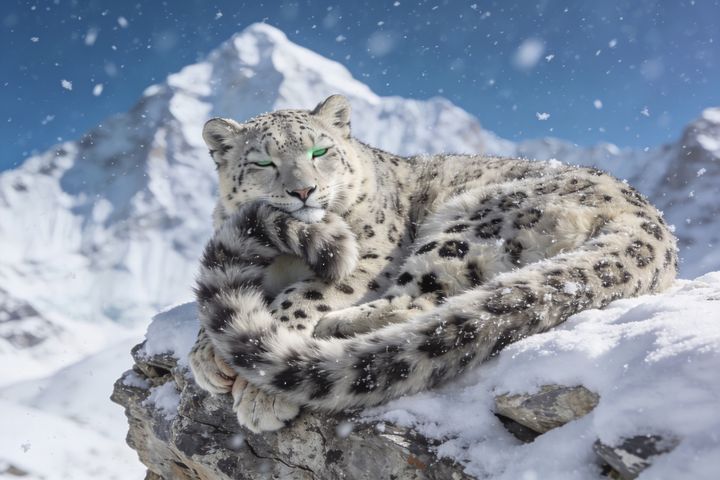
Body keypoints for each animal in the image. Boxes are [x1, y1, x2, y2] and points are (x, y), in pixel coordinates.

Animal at [189, 94, 678, 433]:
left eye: (319, 152)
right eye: (262, 161)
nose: (303, 191)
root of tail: (651, 224)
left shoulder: (367, 256)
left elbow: (303, 296)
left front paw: (258, 395)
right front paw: (205, 358)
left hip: (463, 227)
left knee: (424, 304)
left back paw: (336, 327)